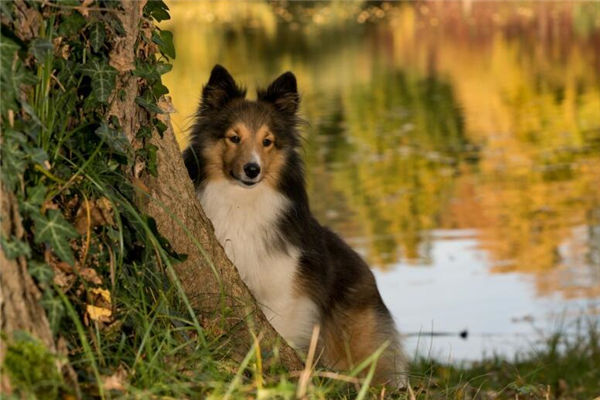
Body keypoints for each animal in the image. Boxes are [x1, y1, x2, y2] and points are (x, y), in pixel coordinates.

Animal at [183, 65, 408, 384]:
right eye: (234, 137)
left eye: (267, 141)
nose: (252, 170)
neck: (242, 200)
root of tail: (368, 274)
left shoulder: (282, 291)